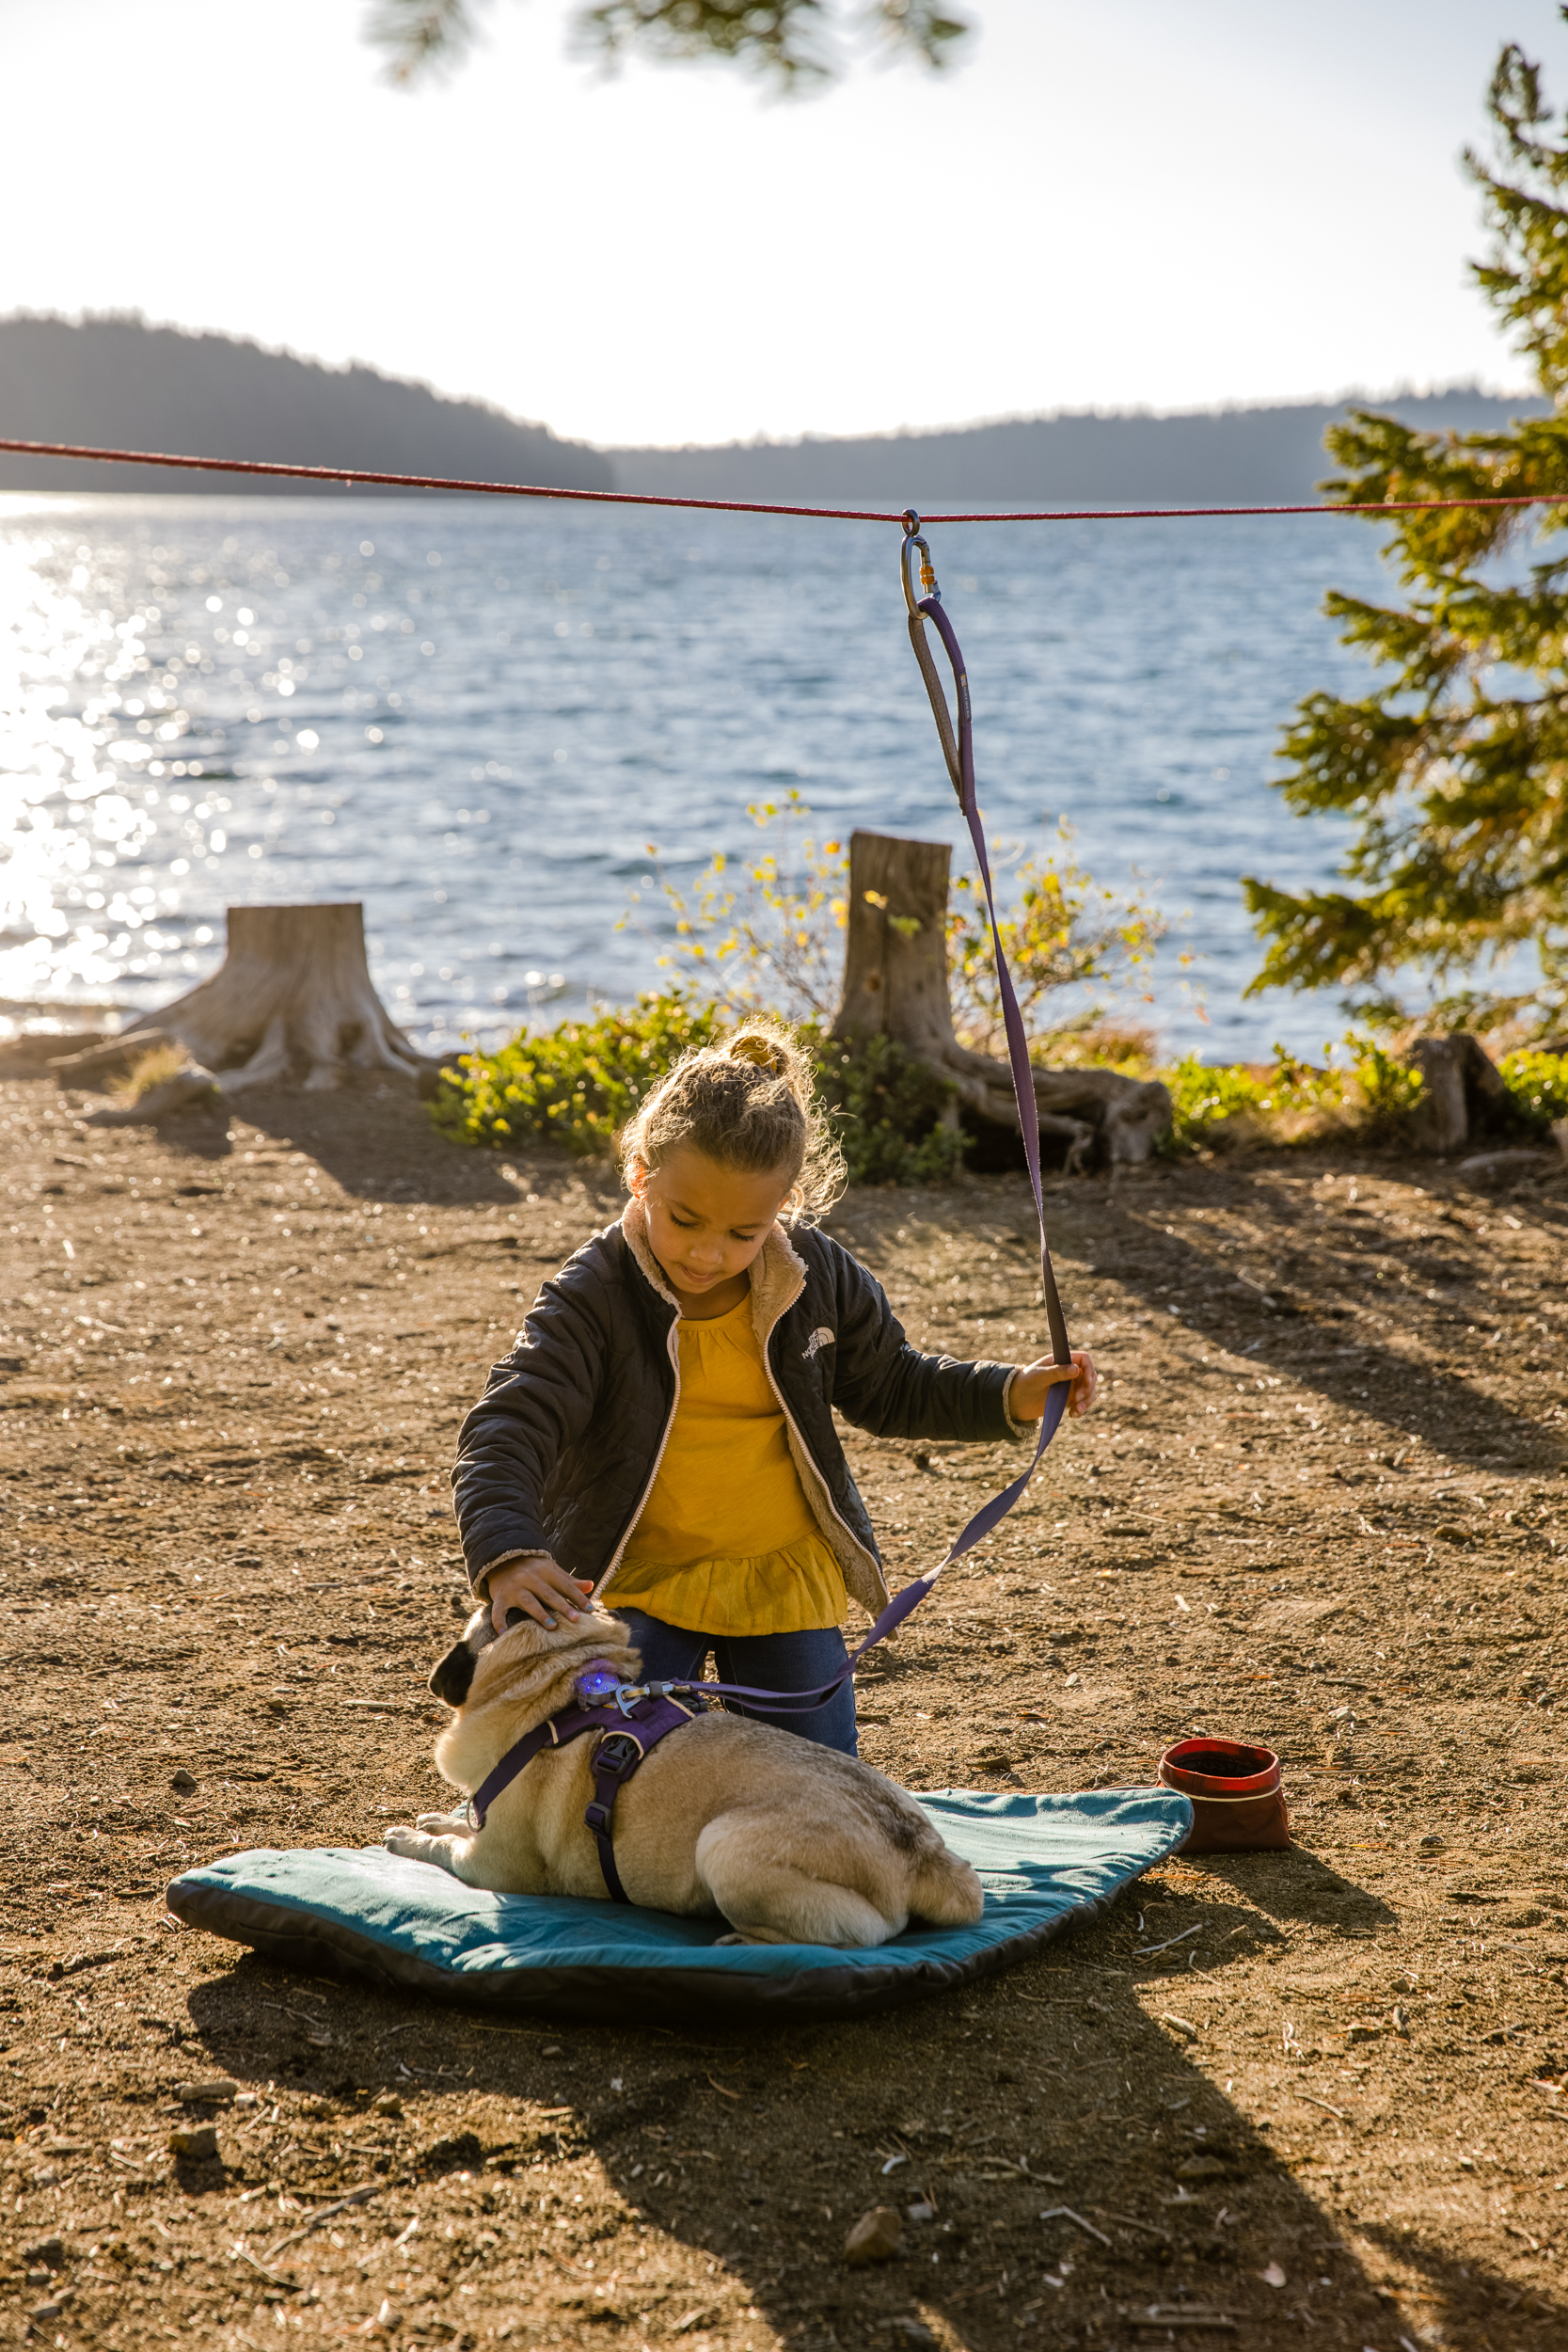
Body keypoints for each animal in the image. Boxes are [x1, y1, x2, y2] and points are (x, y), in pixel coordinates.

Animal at [385, 1599, 982, 1947]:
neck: (556, 1698)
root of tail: (925, 1859)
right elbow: (457, 1827)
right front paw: (437, 1821)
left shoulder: (494, 1867)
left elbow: (445, 1851)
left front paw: (411, 1839)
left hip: (722, 1846)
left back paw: (744, 1944)